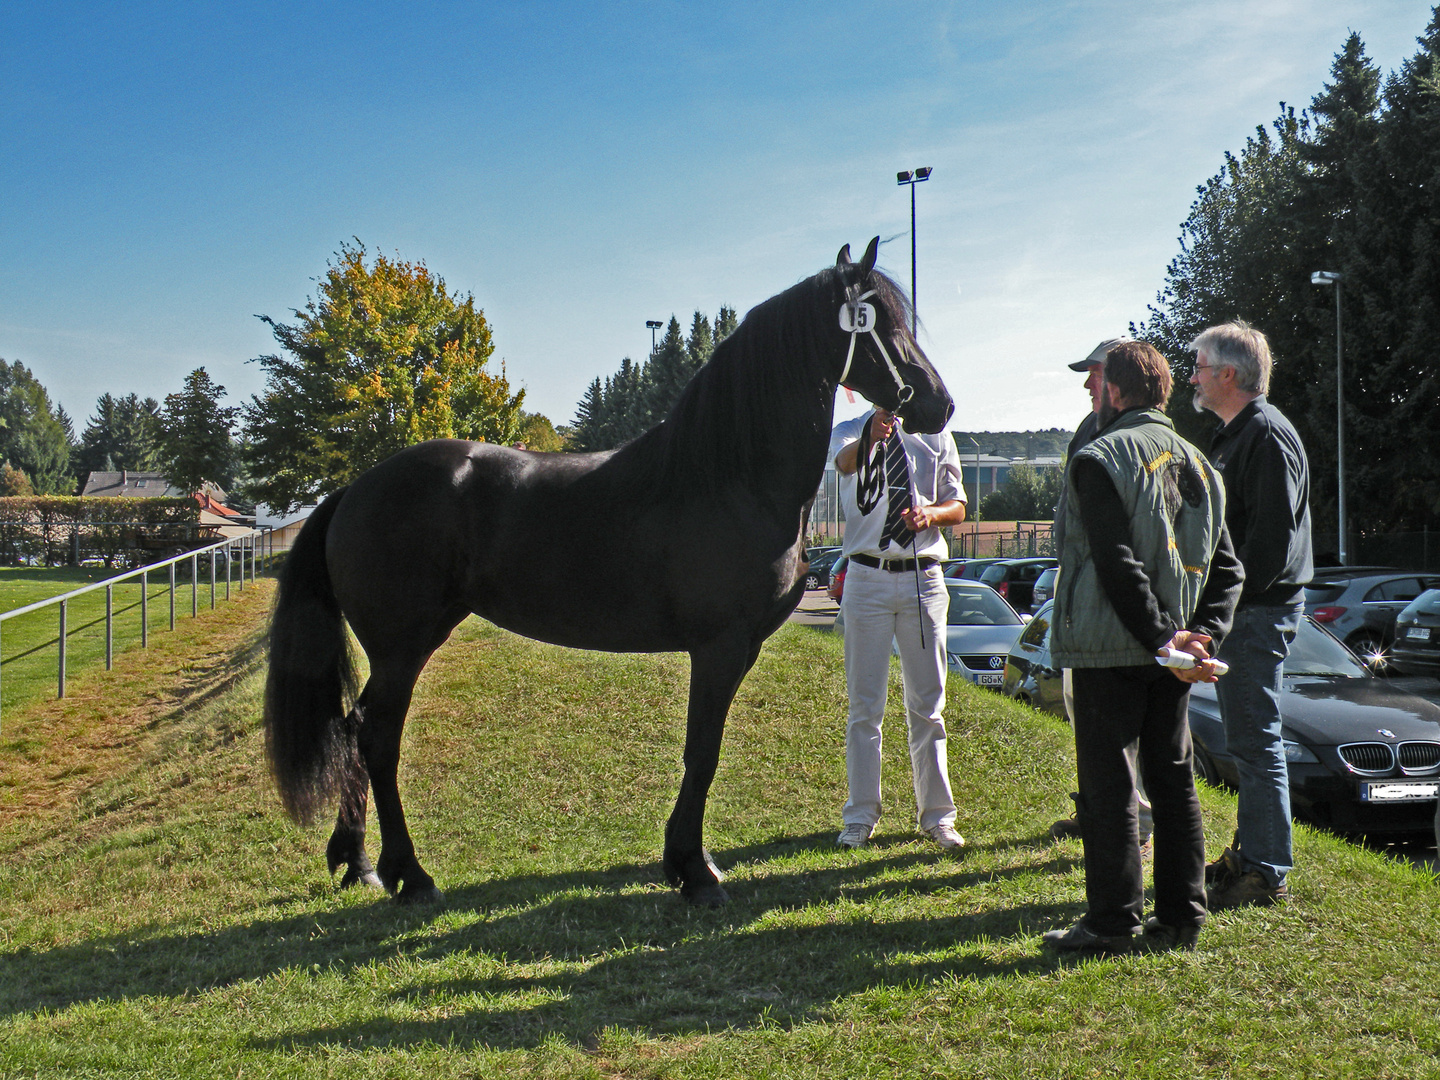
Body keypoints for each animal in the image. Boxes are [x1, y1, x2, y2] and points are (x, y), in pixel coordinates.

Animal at [263, 240, 950, 910]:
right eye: (878, 321)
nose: (939, 404)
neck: (729, 478)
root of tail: (356, 488)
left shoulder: (739, 648)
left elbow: (701, 750)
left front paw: (684, 862)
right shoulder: (720, 646)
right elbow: (702, 751)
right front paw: (694, 870)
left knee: (355, 730)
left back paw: (358, 863)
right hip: (402, 646)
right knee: (376, 736)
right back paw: (410, 874)